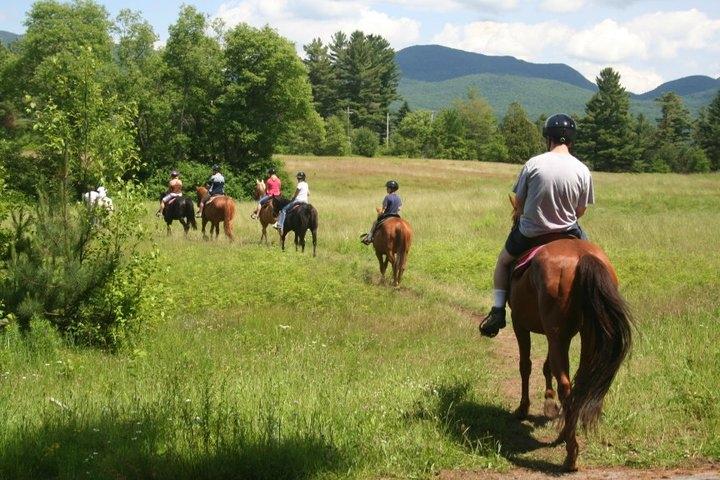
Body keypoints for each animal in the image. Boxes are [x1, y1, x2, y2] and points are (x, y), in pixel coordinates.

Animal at [504, 193, 632, 470]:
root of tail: (583, 258)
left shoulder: (521, 324)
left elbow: (526, 365)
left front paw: (524, 408)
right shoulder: (556, 334)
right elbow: (547, 366)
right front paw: (548, 401)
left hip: (558, 334)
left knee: (566, 384)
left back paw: (570, 453)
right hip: (587, 336)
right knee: (579, 381)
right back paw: (566, 432)